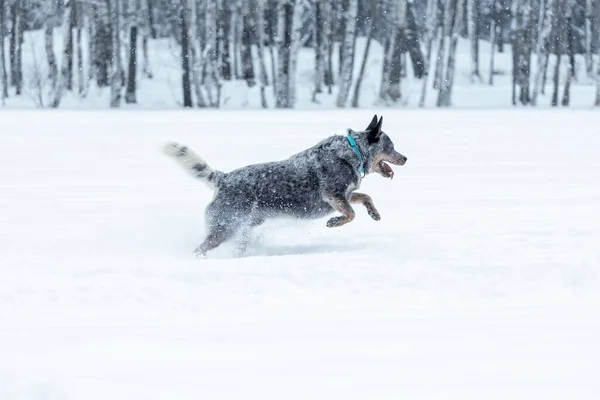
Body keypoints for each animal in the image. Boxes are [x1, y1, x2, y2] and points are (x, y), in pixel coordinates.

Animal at [164, 114, 408, 256]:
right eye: (392, 146)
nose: (405, 158)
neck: (353, 151)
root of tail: (223, 178)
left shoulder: (345, 195)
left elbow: (365, 197)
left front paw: (374, 213)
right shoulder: (333, 195)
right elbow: (350, 214)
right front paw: (334, 222)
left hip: (243, 228)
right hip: (226, 227)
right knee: (200, 248)